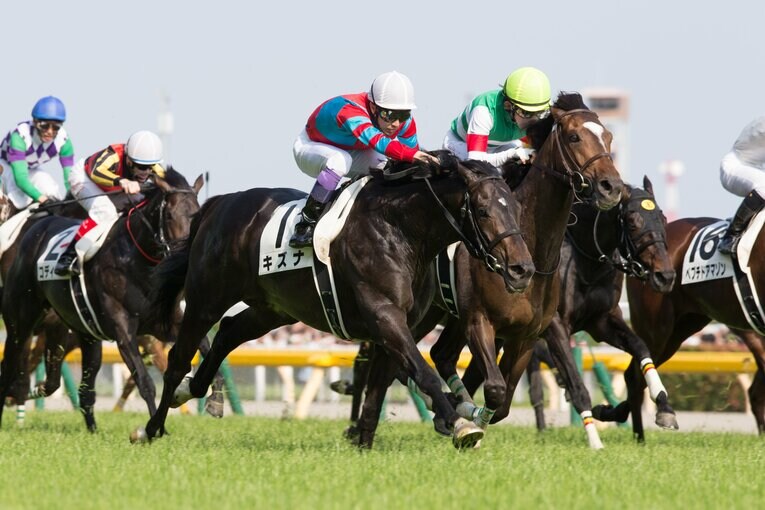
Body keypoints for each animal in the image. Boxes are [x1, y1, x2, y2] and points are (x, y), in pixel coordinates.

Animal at [0, 168, 213, 431]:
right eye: (171, 216)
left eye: (197, 216)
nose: (185, 259)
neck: (138, 260)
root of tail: (35, 229)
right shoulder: (123, 329)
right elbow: (145, 381)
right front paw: (154, 429)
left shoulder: (161, 324)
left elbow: (199, 347)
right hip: (20, 322)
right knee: (10, 366)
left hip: (74, 329)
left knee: (76, 387)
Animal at [132, 152, 537, 449]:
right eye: (483, 210)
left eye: (517, 210)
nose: (522, 270)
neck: (400, 229)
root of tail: (218, 205)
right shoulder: (384, 315)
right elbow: (423, 373)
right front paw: (460, 425)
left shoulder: (398, 324)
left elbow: (379, 386)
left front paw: (364, 443)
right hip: (206, 300)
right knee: (178, 358)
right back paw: (151, 427)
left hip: (273, 309)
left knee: (229, 332)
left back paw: (193, 392)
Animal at [353, 92, 625, 448]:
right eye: (574, 136)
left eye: (608, 137)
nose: (611, 187)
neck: (531, 245)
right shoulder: (479, 321)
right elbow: (494, 389)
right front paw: (468, 421)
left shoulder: (527, 335)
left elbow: (505, 400)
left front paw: (469, 417)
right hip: (424, 313)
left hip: (439, 315)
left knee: (436, 355)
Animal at [523, 177, 677, 446]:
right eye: (632, 221)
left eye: (663, 218)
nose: (665, 276)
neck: (586, 260)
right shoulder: (555, 324)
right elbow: (576, 383)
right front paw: (594, 437)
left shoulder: (601, 321)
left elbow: (641, 347)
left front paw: (663, 404)